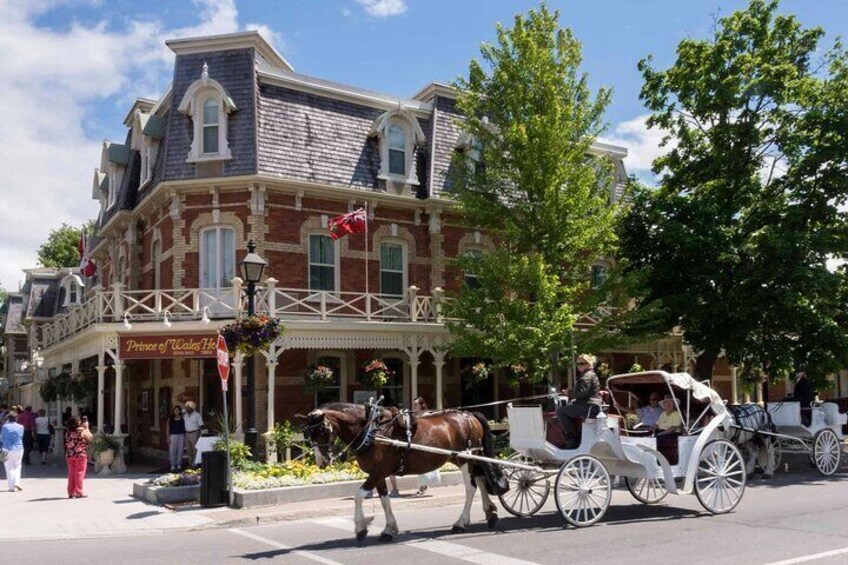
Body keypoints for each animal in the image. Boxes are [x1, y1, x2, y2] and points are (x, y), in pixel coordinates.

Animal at [298, 400, 506, 540]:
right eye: (309, 433)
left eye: (322, 431)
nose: (321, 461)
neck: (373, 431)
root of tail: (469, 416)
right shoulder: (378, 473)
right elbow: (384, 500)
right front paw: (388, 529)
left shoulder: (379, 471)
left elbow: (358, 495)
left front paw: (361, 528)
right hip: (467, 458)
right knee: (480, 480)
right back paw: (490, 513)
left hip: (465, 458)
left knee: (471, 488)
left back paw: (460, 523)